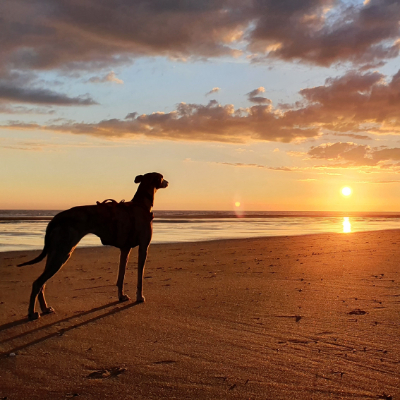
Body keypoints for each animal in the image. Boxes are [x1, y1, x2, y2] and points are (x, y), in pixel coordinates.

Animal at [16, 170, 167, 320]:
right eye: (162, 177)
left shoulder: (125, 249)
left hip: (55, 252)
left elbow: (121, 276)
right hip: (63, 252)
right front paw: (140, 297)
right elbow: (140, 277)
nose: (168, 182)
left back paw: (45, 309)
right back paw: (31, 313)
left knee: (42, 283)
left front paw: (121, 296)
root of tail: (56, 218)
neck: (141, 205)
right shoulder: (143, 247)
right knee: (37, 283)